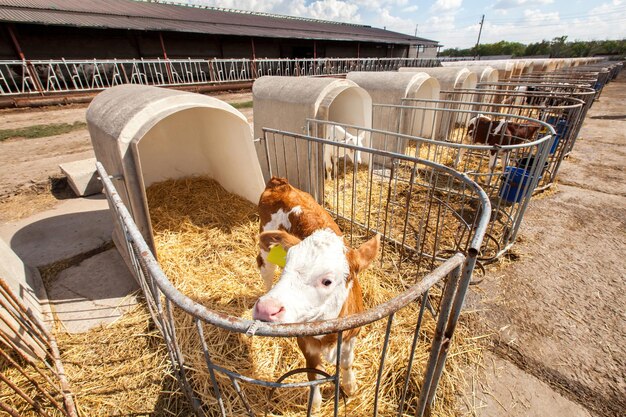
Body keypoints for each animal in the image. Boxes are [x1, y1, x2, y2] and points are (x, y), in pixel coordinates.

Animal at [251, 176, 378, 410]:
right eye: (287, 266)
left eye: (327, 281)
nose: (265, 308)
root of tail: (280, 183)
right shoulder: (305, 341)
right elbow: (313, 374)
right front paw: (316, 403)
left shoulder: (353, 333)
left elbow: (347, 362)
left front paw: (350, 386)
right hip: (265, 246)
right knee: (266, 271)